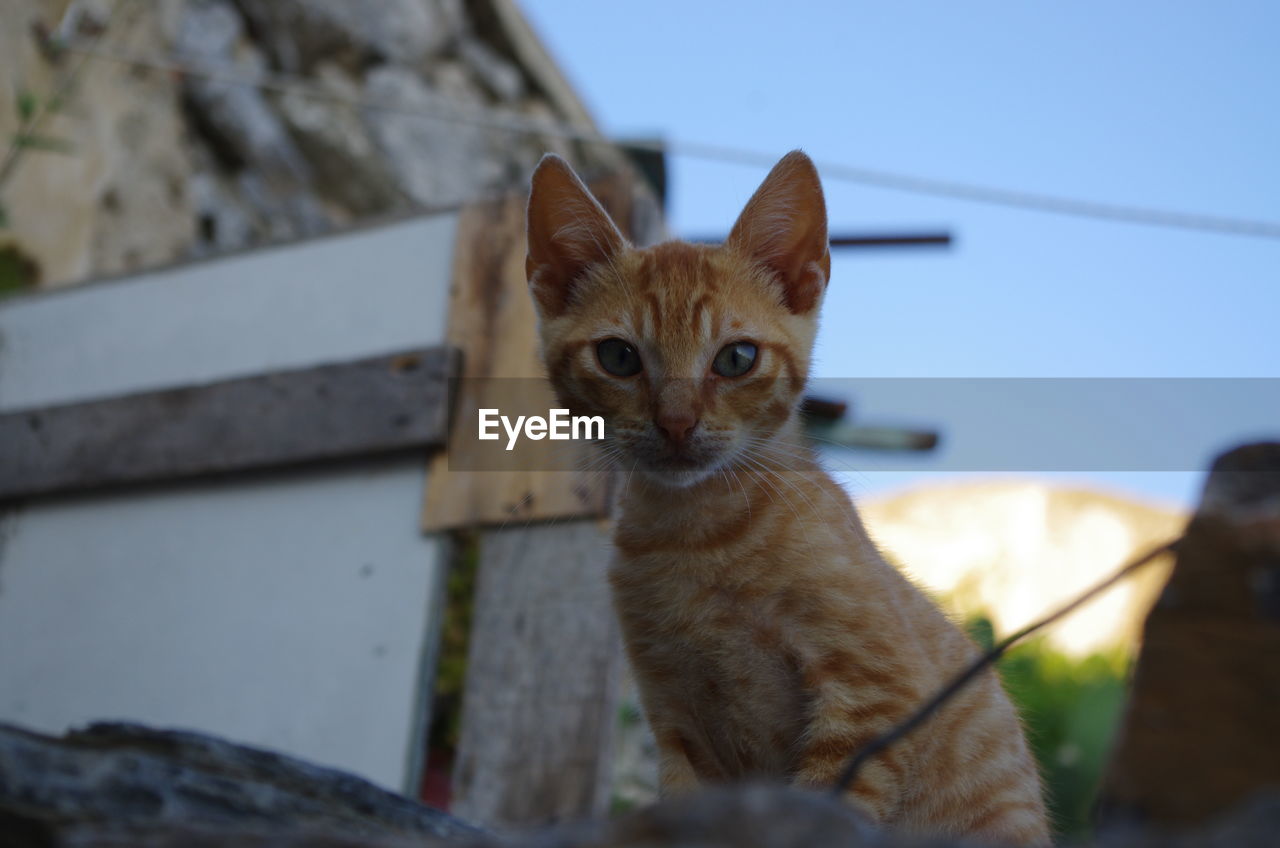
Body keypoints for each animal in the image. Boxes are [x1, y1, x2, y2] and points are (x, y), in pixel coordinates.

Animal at [522, 149, 1049, 845]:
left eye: (736, 358)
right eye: (617, 356)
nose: (676, 423)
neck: (698, 534)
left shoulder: (876, 696)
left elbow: (820, 809)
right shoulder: (676, 721)